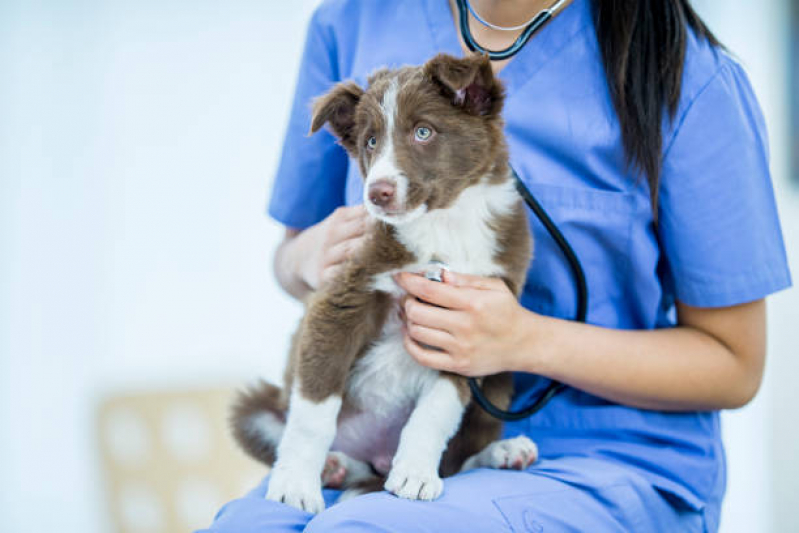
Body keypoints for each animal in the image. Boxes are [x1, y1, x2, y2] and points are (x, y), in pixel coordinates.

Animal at [234, 53, 540, 512]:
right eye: (371, 142)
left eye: (423, 131)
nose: (376, 192)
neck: (445, 224)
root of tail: (375, 457)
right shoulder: (344, 299)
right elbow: (313, 412)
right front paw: (295, 485)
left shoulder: (468, 326)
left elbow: (436, 410)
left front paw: (414, 474)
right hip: (256, 409)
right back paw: (333, 467)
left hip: (502, 374)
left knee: (460, 456)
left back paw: (503, 452)